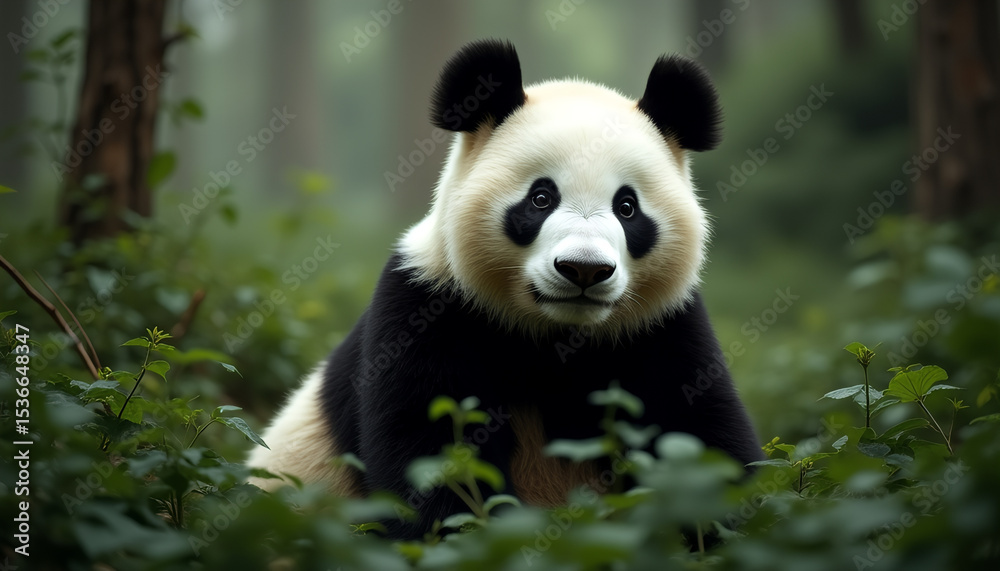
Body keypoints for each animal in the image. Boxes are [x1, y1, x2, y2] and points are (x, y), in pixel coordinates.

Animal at [247, 39, 762, 538]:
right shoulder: (428, 308)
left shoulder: (663, 328)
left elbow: (703, 442)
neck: (555, 337)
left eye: (627, 207)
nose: (583, 270)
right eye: (541, 198)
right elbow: (434, 457)